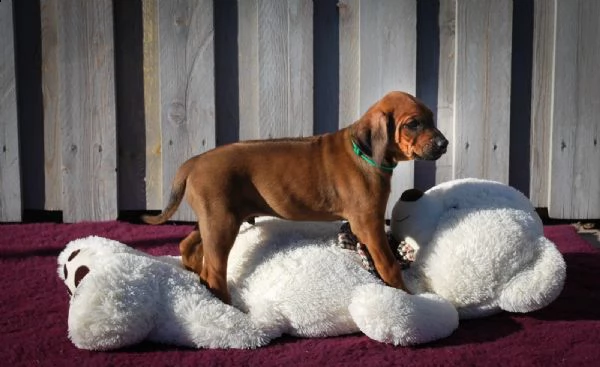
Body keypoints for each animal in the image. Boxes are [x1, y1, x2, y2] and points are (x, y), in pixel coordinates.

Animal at [143, 91, 448, 304]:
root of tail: (193, 161)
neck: (365, 152)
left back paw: (193, 276)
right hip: (221, 223)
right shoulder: (368, 224)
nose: (444, 144)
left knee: (188, 245)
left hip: (213, 218)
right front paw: (406, 295)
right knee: (214, 273)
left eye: (432, 120)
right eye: (413, 124)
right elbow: (388, 264)